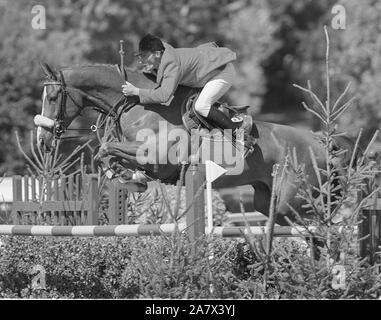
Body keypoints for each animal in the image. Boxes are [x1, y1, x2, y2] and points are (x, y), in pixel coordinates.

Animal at [35, 62, 354, 228]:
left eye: (52, 97)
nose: (42, 140)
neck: (139, 104)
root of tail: (322, 145)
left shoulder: (157, 159)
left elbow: (107, 150)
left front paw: (129, 178)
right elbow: (108, 152)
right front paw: (128, 176)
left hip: (293, 201)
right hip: (268, 200)